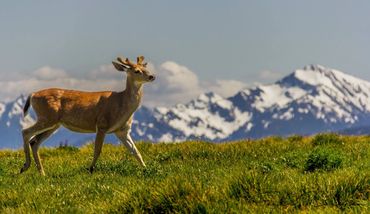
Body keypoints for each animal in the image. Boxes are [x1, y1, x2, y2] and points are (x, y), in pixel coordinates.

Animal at [19, 55, 155, 176]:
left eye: (146, 68)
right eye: (137, 71)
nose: (152, 76)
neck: (121, 102)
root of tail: (33, 94)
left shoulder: (122, 130)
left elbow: (136, 151)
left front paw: (146, 169)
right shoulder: (102, 124)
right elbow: (98, 150)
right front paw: (90, 169)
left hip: (54, 124)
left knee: (34, 142)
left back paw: (41, 173)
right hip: (47, 117)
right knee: (26, 132)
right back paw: (25, 166)